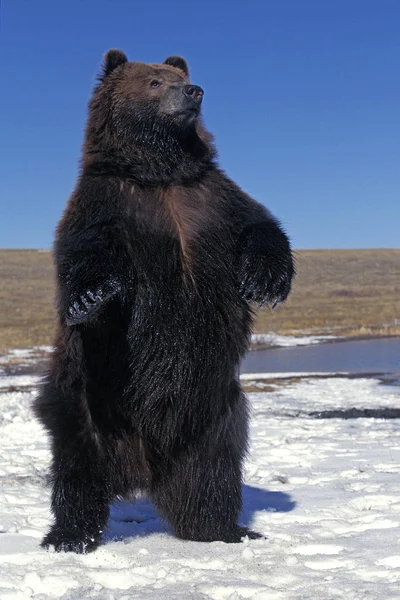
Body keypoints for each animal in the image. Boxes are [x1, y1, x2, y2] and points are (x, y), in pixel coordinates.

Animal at [34, 50, 296, 552]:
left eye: (179, 76)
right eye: (154, 82)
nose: (194, 92)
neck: (160, 174)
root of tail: (141, 467)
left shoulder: (212, 199)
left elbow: (260, 226)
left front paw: (266, 282)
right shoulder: (107, 204)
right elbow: (86, 254)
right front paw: (92, 296)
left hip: (213, 413)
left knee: (210, 474)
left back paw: (224, 529)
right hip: (86, 401)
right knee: (78, 469)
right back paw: (70, 535)